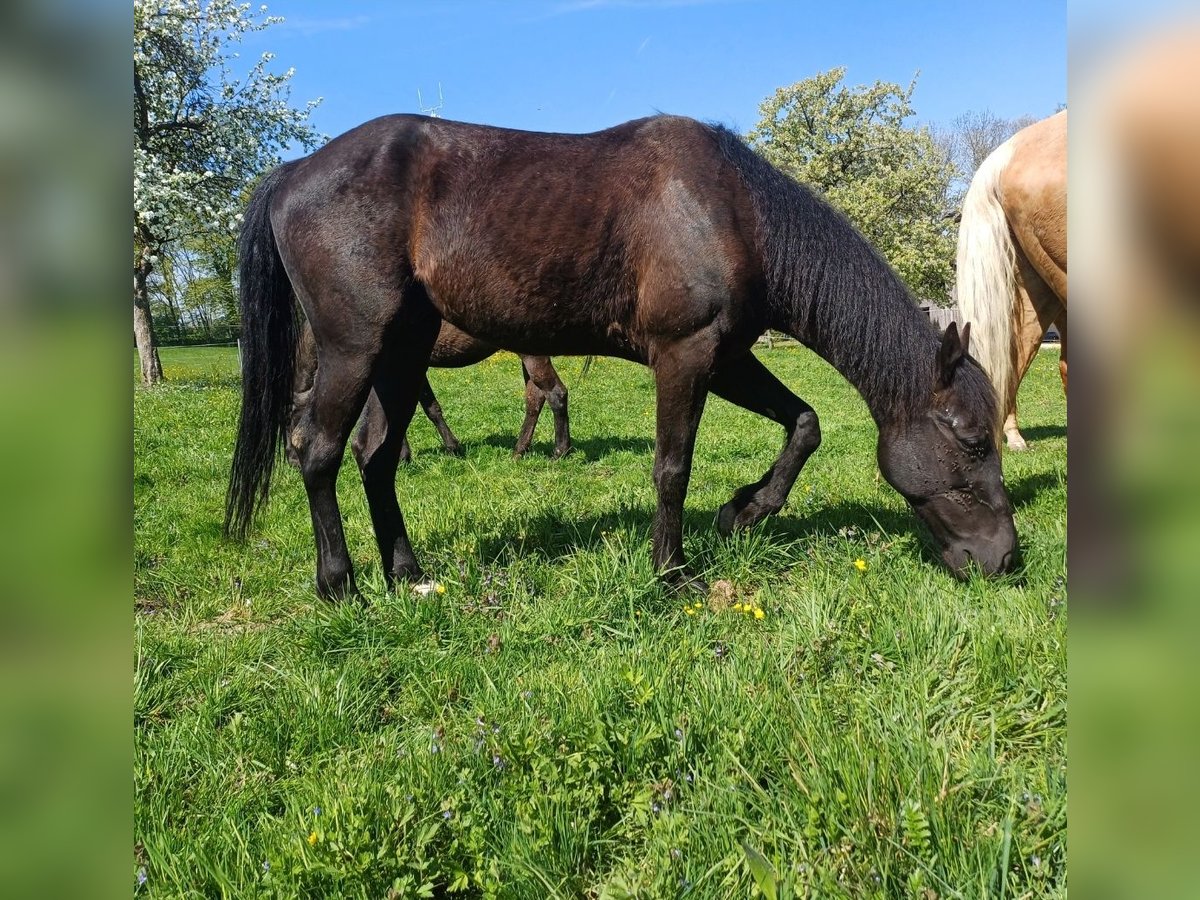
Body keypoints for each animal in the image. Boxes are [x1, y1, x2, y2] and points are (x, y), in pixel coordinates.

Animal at [225, 116, 1012, 602]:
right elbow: (672, 467)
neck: (731, 210)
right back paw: (339, 584)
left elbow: (805, 423)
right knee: (318, 452)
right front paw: (672, 571)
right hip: (353, 351)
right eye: (974, 442)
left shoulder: (727, 355)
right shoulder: (686, 356)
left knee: (377, 456)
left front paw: (745, 511)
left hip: (399, 357)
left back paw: (409, 574)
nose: (1008, 560)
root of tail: (294, 171)